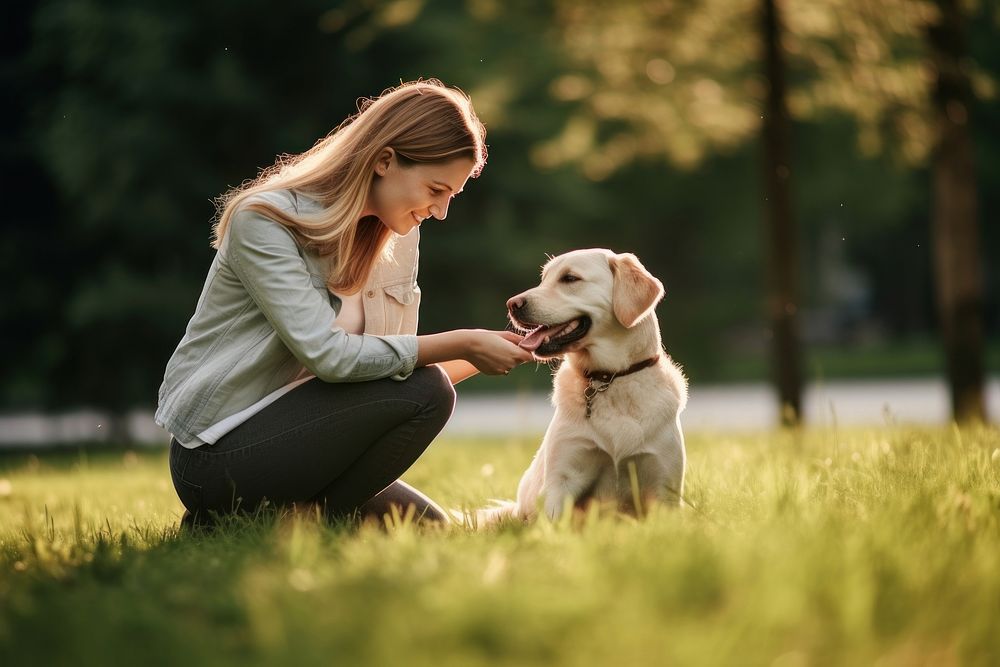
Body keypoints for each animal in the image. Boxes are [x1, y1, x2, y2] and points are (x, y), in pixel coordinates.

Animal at [480, 248, 684, 524]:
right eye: (544, 279)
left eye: (569, 278)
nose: (512, 304)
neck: (609, 378)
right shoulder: (561, 479)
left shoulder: (664, 486)